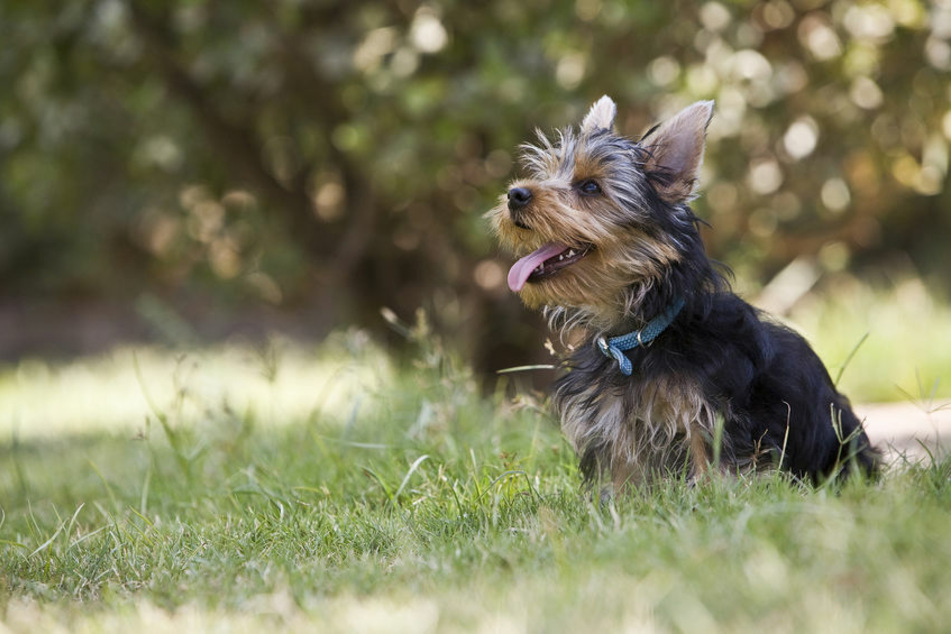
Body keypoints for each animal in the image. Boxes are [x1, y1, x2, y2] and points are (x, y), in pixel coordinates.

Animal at [494, 95, 880, 488]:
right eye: (548, 175)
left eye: (590, 188)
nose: (515, 194)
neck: (639, 334)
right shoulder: (613, 423)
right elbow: (619, 475)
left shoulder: (709, 413)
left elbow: (711, 465)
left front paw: (711, 497)